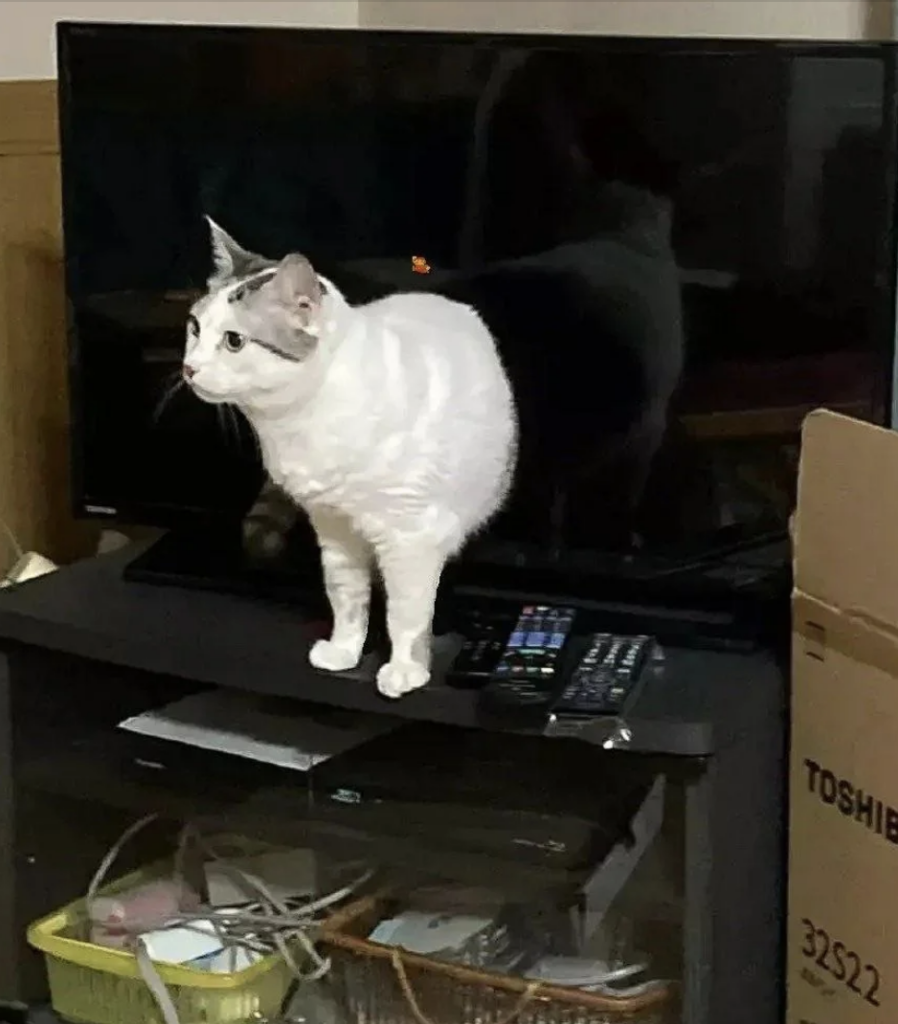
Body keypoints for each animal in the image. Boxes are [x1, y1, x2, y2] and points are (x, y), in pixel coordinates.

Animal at [183, 220, 518, 700]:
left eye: (234, 341)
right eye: (194, 327)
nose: (188, 368)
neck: (302, 420)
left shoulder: (412, 538)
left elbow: (406, 614)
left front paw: (405, 669)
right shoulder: (333, 527)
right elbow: (346, 597)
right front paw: (344, 651)